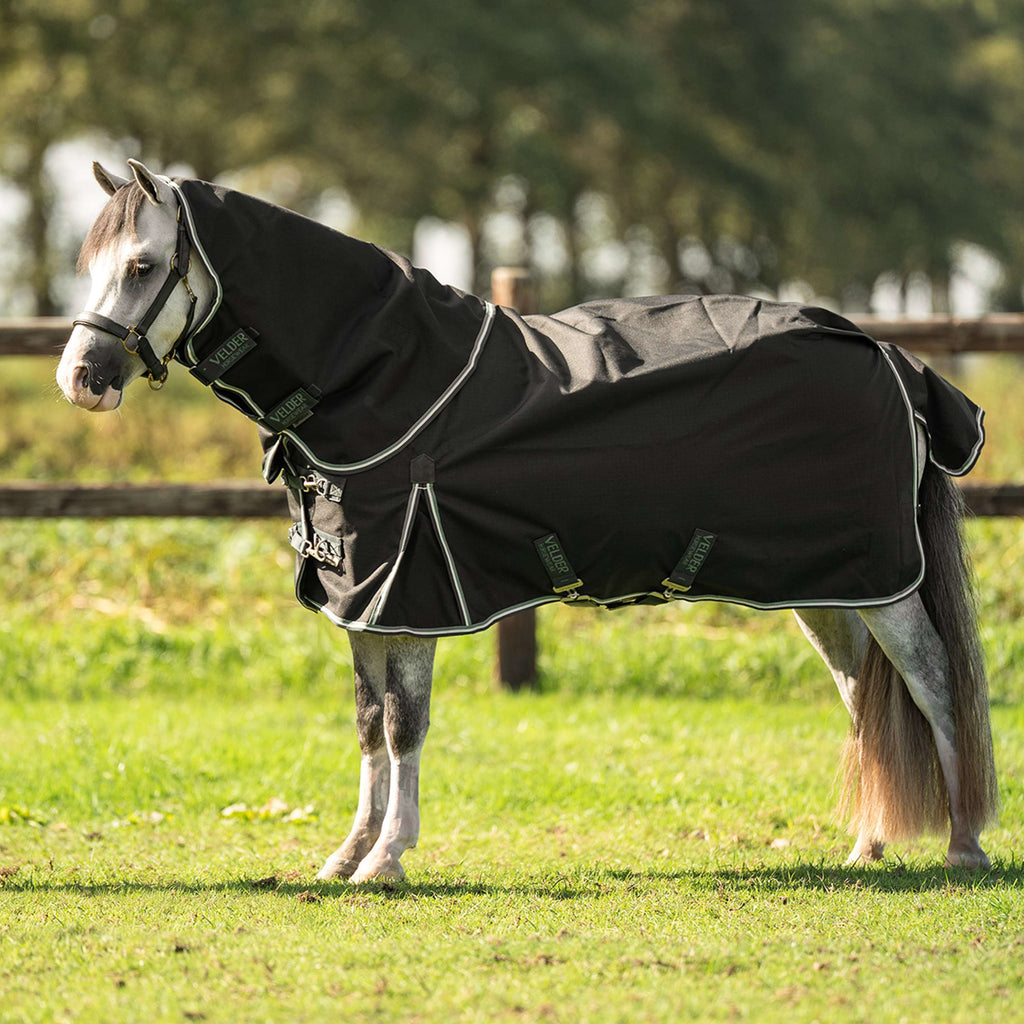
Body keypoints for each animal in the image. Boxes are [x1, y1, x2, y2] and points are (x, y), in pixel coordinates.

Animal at [57, 159, 998, 882]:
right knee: (862, 696)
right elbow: (366, 725)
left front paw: (387, 861)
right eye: (89, 262)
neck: (384, 378)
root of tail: (888, 355)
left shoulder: (415, 596)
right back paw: (866, 847)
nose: (79, 379)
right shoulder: (362, 599)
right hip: (824, 586)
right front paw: (345, 857)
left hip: (883, 585)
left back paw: (962, 845)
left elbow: (403, 726)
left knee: (934, 683)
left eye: (141, 266)